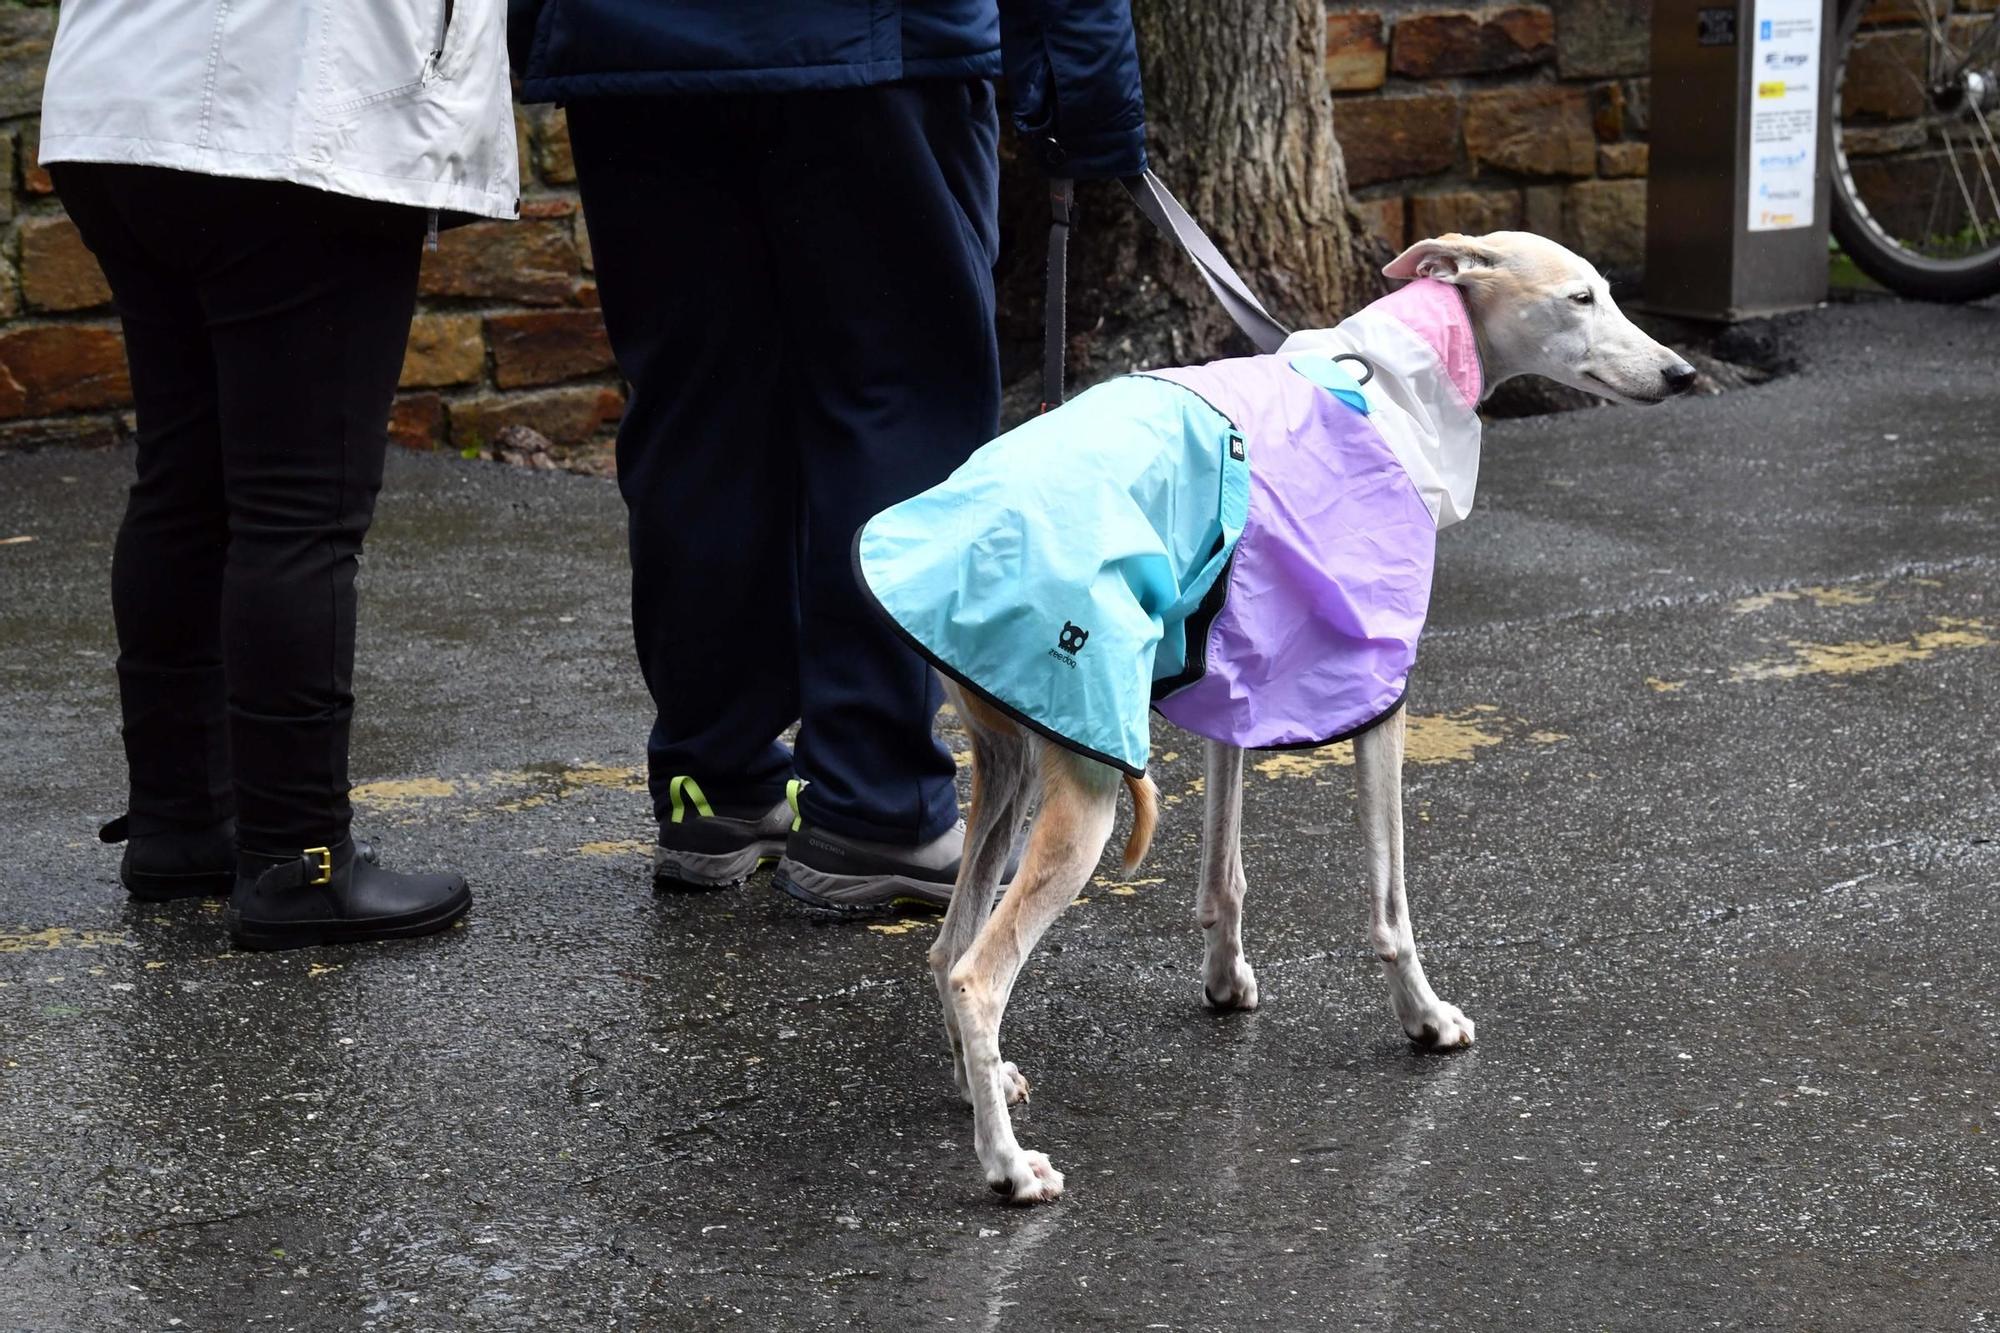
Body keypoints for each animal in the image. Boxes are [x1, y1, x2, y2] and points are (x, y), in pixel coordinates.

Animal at [876, 233, 1688, 1200]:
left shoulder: (1239, 675)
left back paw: (982, 1081)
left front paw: (1226, 979)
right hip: (1084, 790)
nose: (1681, 372)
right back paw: (1006, 1165)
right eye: (1580, 298)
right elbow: (1390, 900)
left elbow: (1224, 869)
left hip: (1016, 763)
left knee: (944, 948)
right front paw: (1424, 1018)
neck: (1386, 389)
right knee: (975, 975)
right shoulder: (1373, 688)